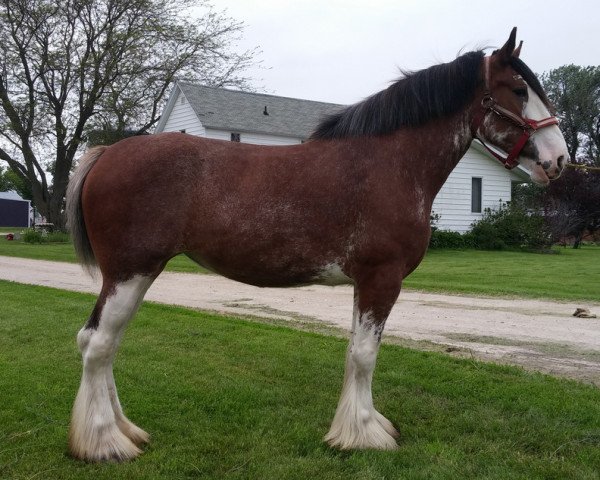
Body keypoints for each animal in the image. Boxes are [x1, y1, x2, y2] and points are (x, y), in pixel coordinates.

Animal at [65, 29, 568, 462]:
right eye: (519, 89)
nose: (559, 159)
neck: (390, 164)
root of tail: (107, 154)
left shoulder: (365, 283)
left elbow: (354, 353)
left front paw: (361, 426)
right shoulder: (381, 278)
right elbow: (365, 356)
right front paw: (363, 435)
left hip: (138, 273)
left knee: (103, 342)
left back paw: (126, 430)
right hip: (130, 271)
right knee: (99, 343)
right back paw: (104, 443)